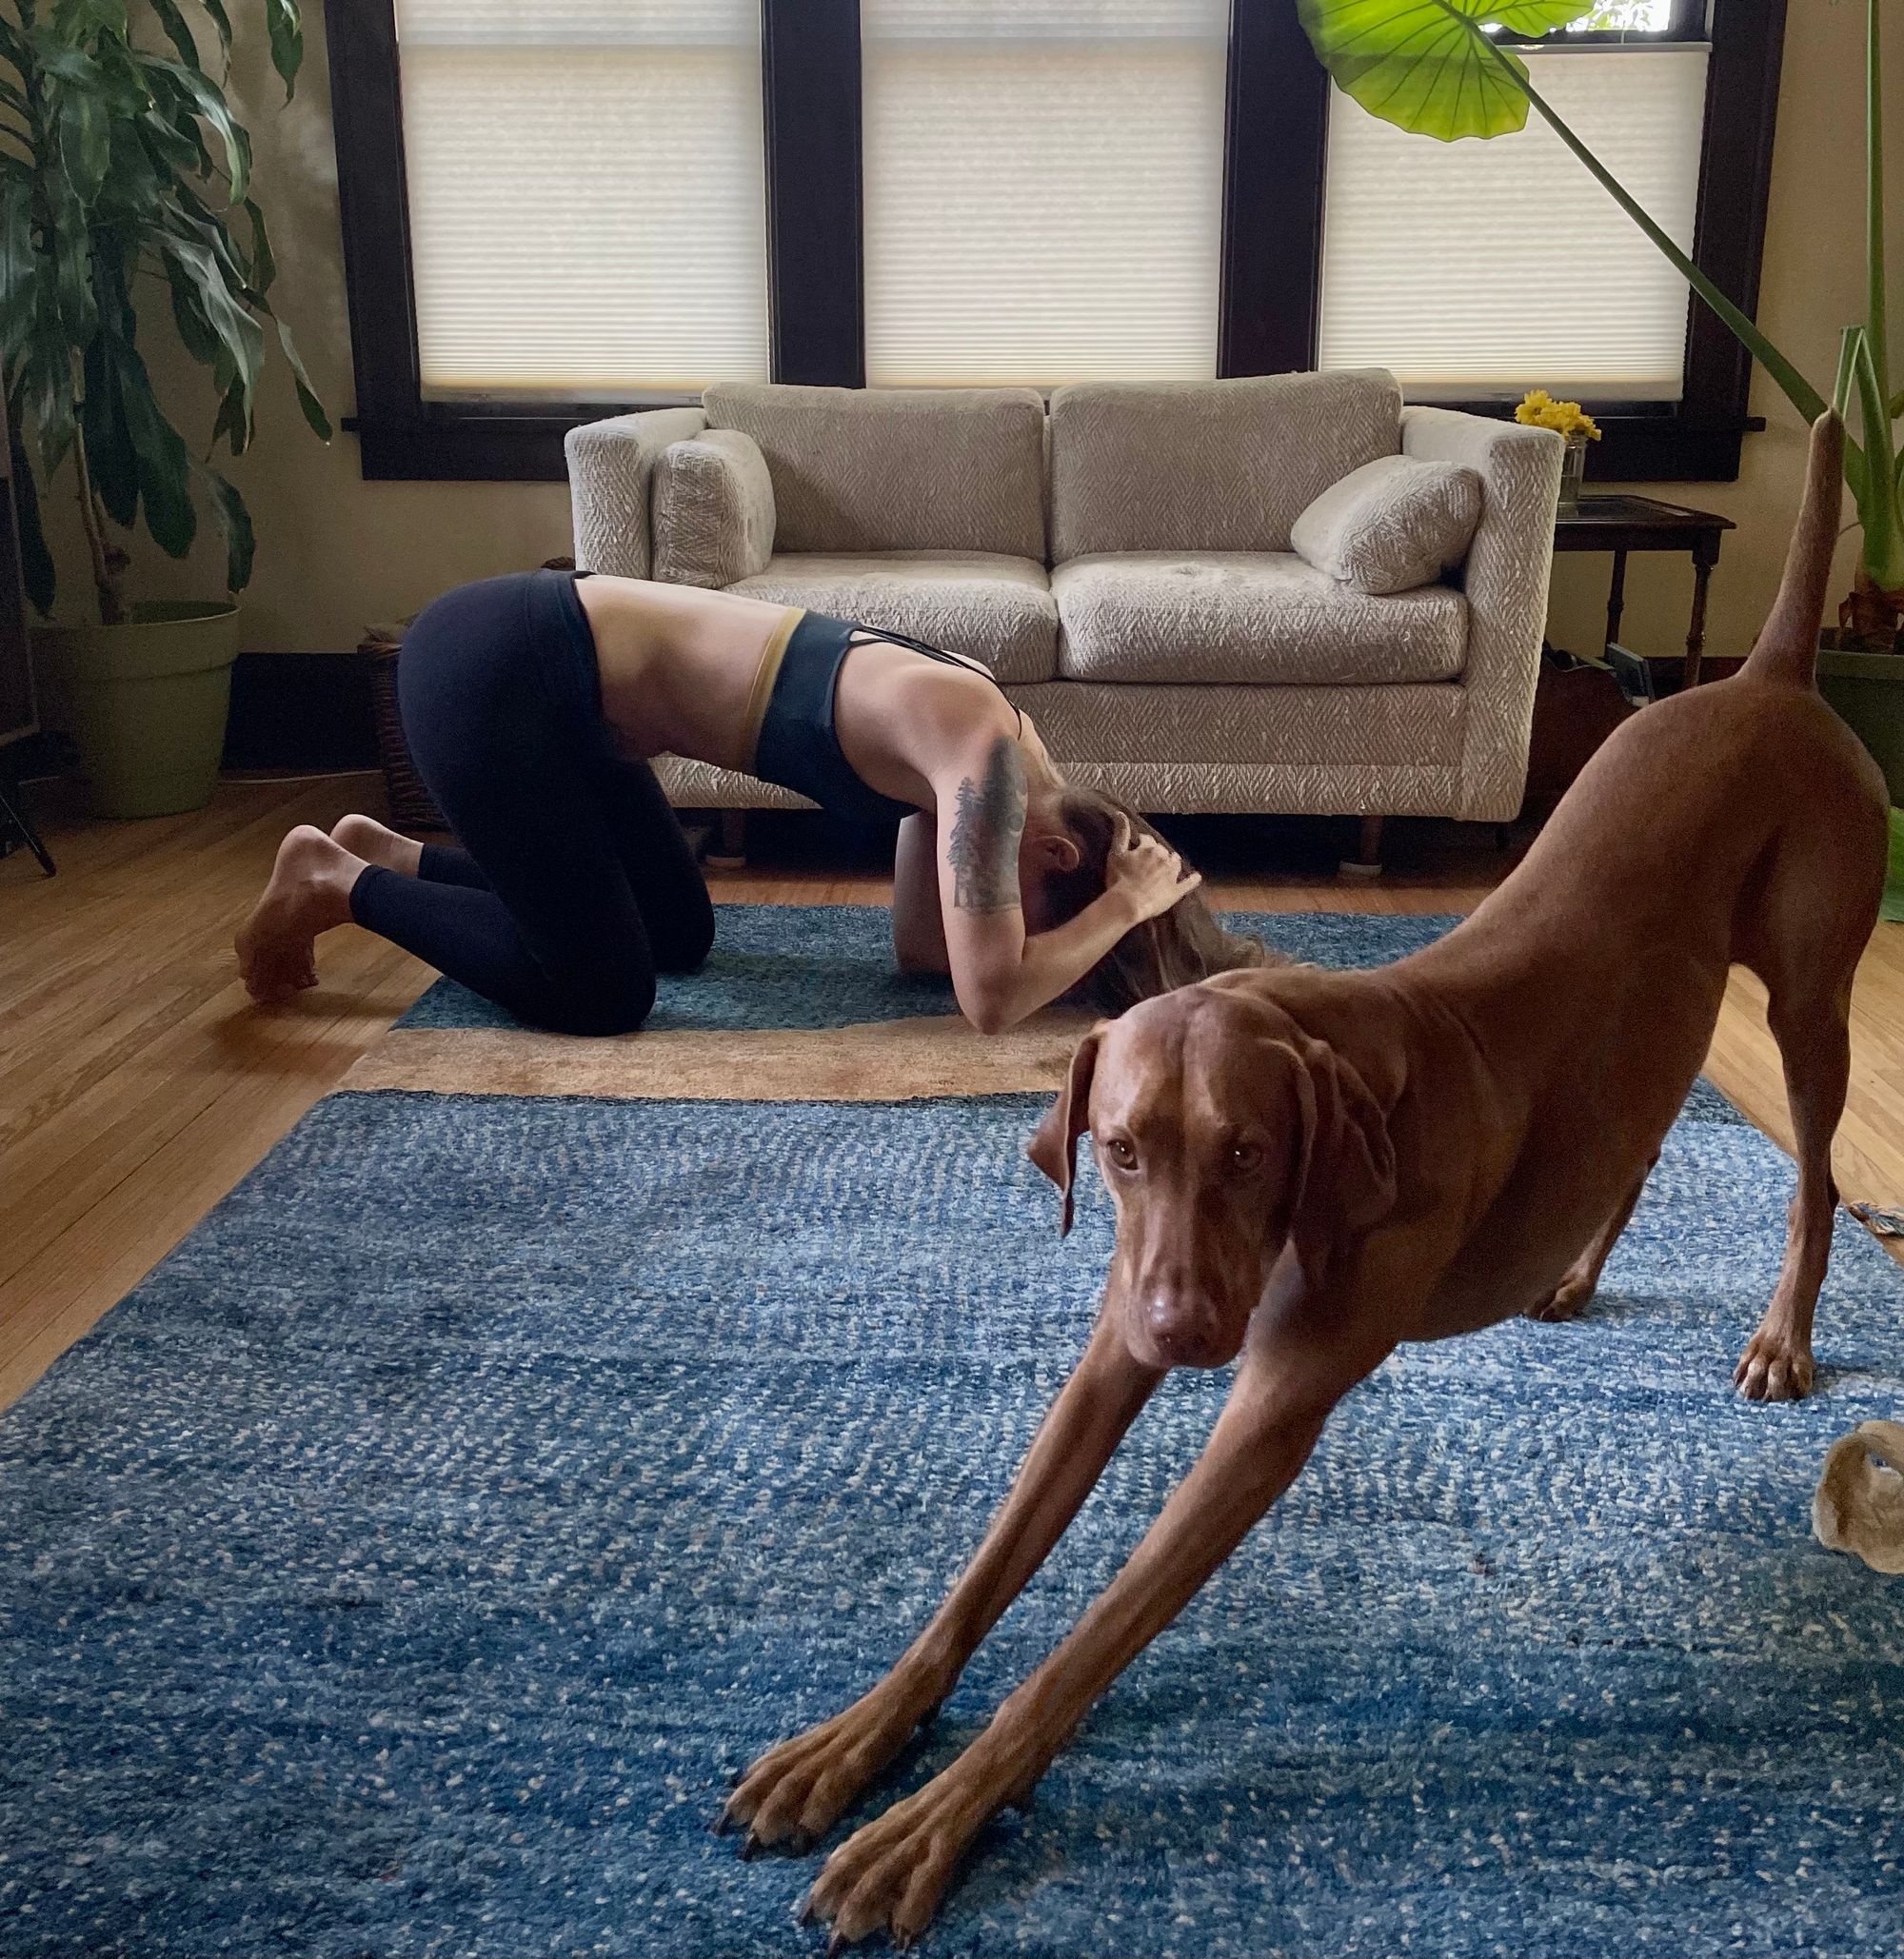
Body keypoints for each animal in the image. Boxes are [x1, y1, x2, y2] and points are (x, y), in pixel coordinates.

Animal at [717, 413, 1888, 1943]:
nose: (1182, 1330)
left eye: (1253, 1153)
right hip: (1660, 1013)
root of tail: (1766, 674)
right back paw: (1572, 1273)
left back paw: (1782, 1337)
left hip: (1807, 996)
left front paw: (926, 1826)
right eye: (1124, 1150)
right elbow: (984, 1568)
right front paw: (852, 1743)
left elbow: (1080, 1643)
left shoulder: (1269, 1412)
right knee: (1633, 1142)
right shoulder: (1112, 1339)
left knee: (1810, 1180)